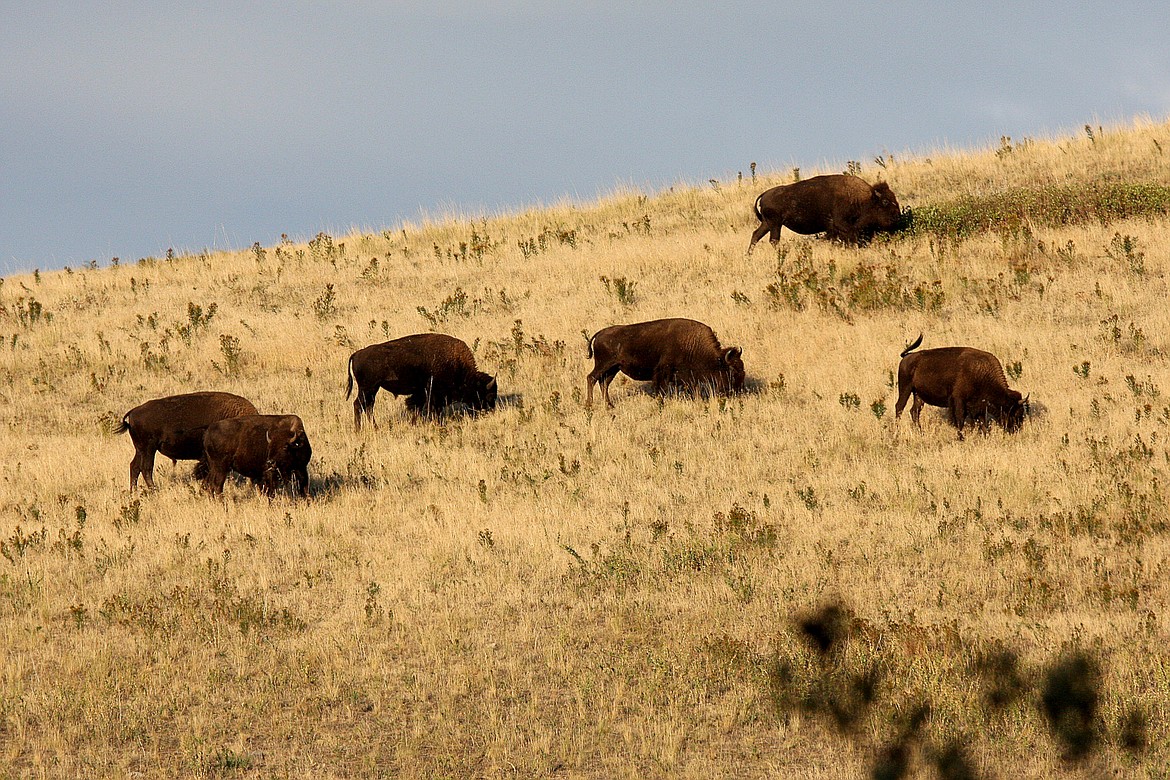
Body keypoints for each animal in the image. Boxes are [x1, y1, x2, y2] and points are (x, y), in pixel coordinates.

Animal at [113, 392, 258, 491]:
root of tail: (134, 412)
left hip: (141, 449)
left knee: (135, 466)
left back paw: (134, 492)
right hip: (148, 449)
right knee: (146, 468)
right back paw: (153, 490)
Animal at [343, 332, 496, 430]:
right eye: (487, 394)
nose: (490, 410)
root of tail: (357, 354)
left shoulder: (422, 394)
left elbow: (417, 407)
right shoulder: (433, 394)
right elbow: (430, 409)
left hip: (372, 389)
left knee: (368, 407)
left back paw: (375, 427)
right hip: (368, 388)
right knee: (359, 405)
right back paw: (358, 430)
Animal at [582, 315, 739, 409]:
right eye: (731, 371)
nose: (738, 390)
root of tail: (600, 333)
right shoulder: (663, 372)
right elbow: (661, 389)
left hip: (613, 368)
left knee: (604, 383)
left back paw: (609, 405)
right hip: (604, 365)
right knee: (592, 378)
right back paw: (589, 404)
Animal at [748, 174, 903, 253]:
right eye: (885, 202)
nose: (897, 217)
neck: (863, 198)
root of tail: (764, 194)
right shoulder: (842, 224)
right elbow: (851, 236)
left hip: (767, 223)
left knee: (756, 235)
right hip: (775, 224)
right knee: (773, 240)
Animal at [889, 332, 1029, 437]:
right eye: (1013, 412)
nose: (1015, 430)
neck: (981, 373)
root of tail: (907, 356)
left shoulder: (979, 406)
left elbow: (981, 422)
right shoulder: (959, 401)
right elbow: (960, 420)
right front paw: (961, 437)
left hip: (918, 395)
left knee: (914, 411)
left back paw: (920, 432)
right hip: (905, 389)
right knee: (899, 408)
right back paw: (897, 432)